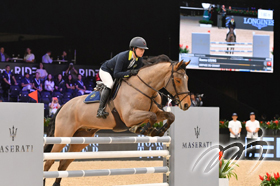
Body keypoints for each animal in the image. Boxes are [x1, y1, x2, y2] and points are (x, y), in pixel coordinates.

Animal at [43, 55, 191, 186]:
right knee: (49, 162)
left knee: (63, 164)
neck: (144, 88)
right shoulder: (129, 117)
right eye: (178, 80)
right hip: (63, 136)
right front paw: (144, 129)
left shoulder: (155, 111)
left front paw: (158, 131)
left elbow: (169, 116)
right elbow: (151, 117)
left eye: (187, 79)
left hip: (80, 139)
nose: (186, 105)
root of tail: (63, 106)